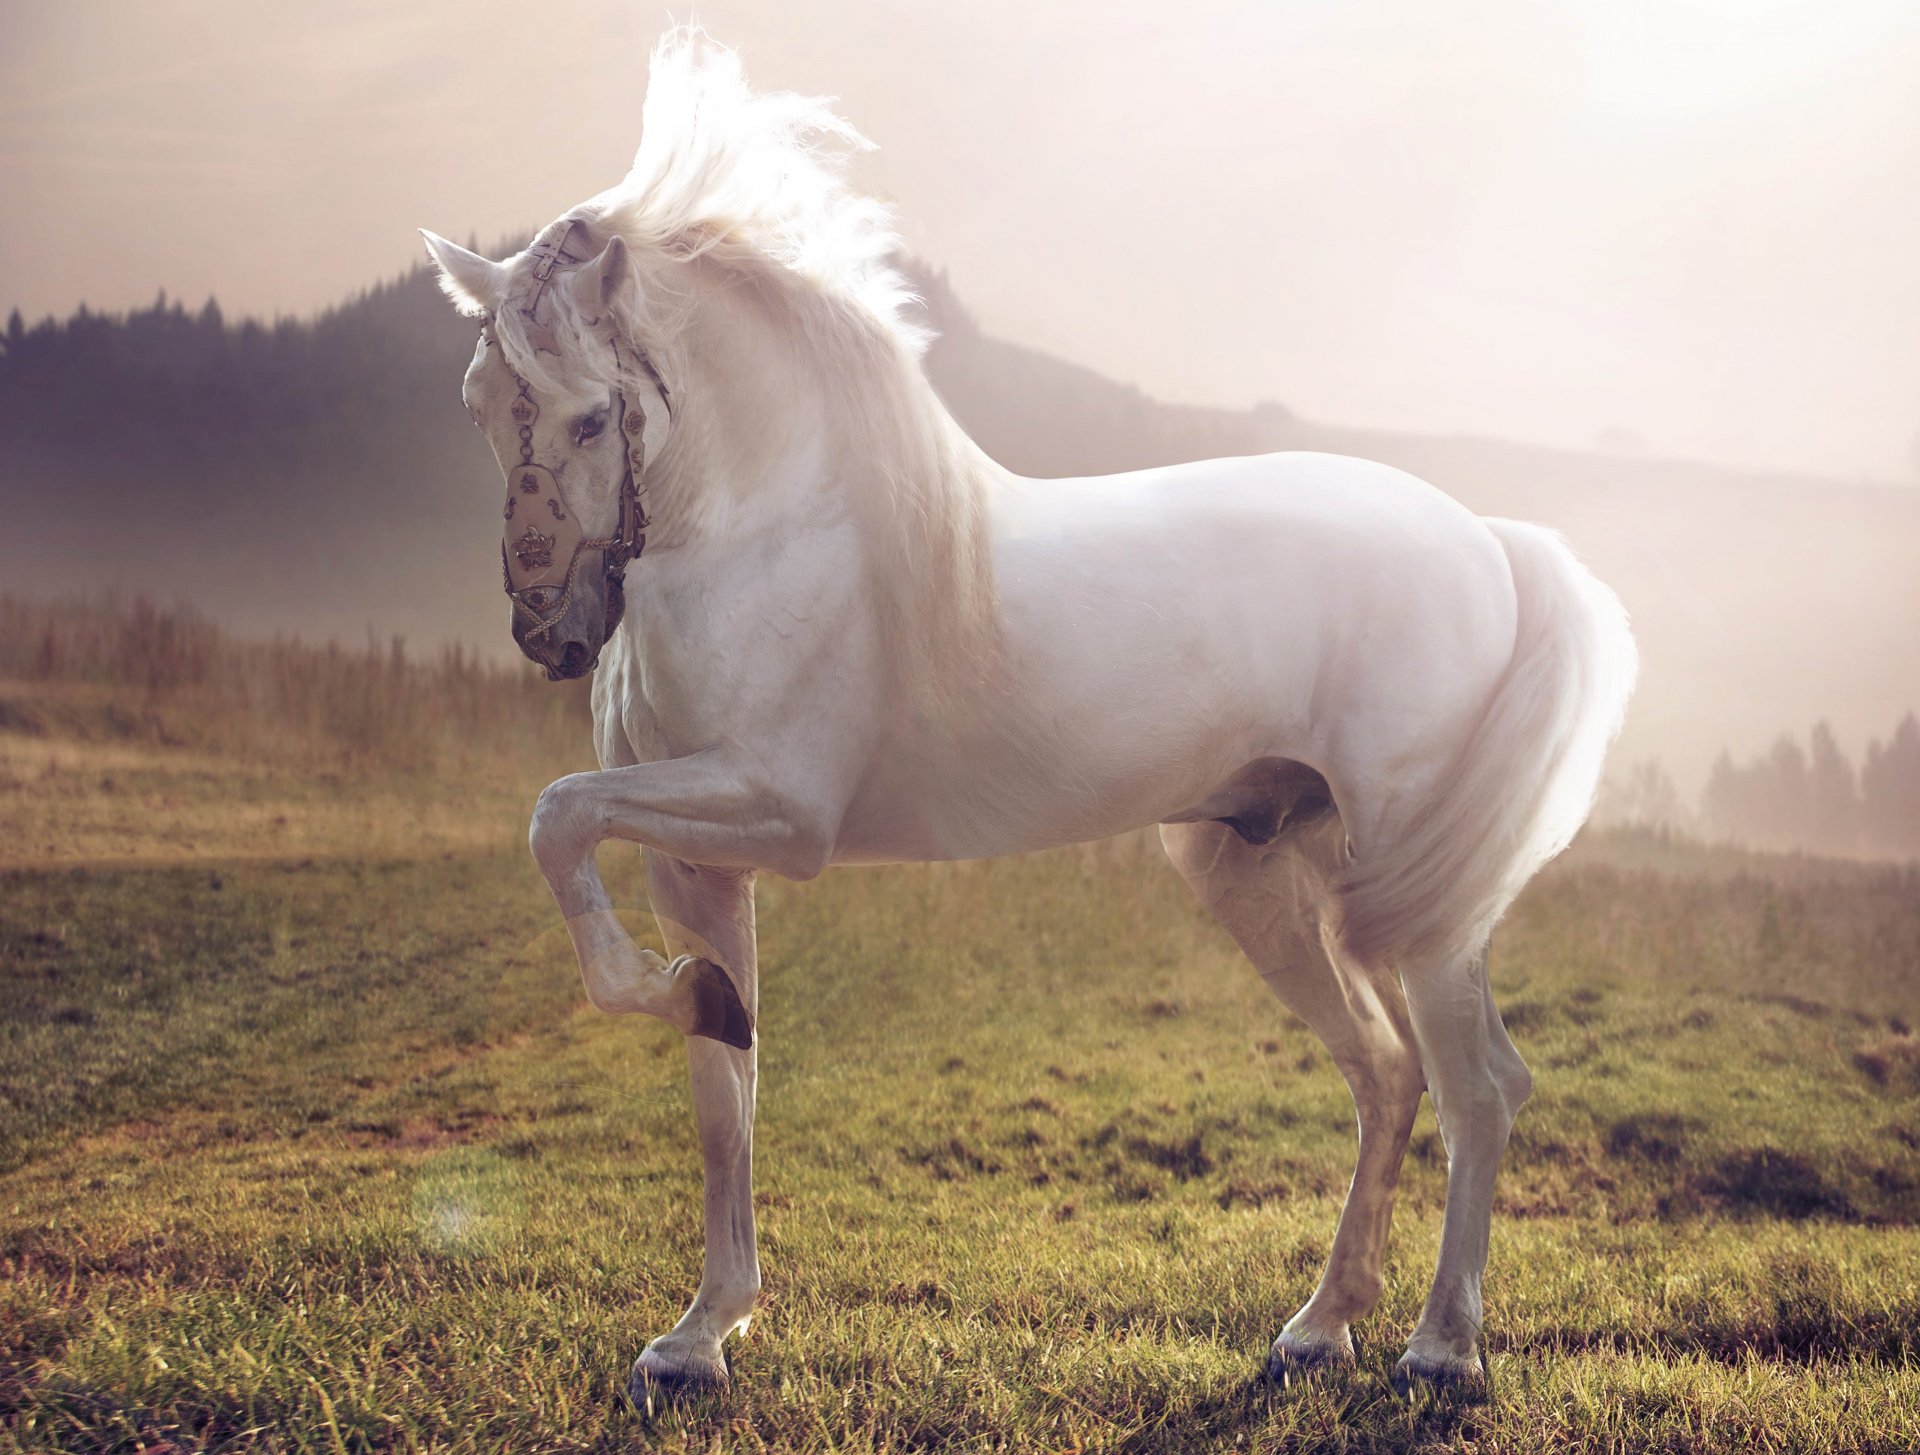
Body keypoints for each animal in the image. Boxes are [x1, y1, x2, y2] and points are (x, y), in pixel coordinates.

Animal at [419, 30, 1636, 1401]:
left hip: (1416, 913)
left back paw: (1441, 1349)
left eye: (589, 415)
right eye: (479, 404)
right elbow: (721, 1089)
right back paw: (1320, 1327)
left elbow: (557, 818)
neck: (766, 525)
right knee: (1386, 1073)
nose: (551, 634)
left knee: (1480, 1085)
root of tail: (1488, 539)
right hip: (1264, 876)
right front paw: (700, 1331)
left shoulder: (776, 812)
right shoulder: (698, 859)